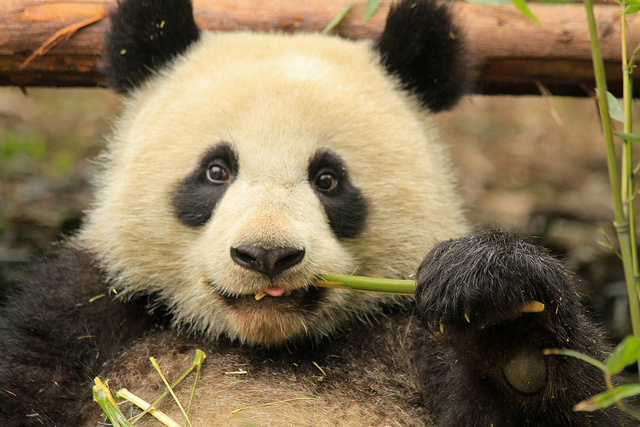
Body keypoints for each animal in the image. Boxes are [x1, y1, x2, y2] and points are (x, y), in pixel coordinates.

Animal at [0, 0, 631, 425]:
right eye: (216, 171)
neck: (264, 346)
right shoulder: (80, 319)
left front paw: (507, 320)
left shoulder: (404, 333)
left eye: (328, 180)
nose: (267, 255)